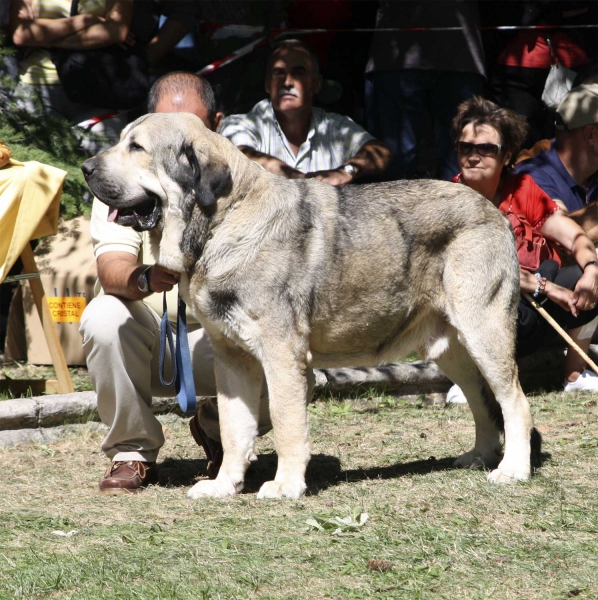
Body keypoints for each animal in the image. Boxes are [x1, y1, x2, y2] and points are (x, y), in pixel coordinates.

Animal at [81, 113, 540, 502]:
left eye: (136, 147)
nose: (85, 168)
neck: (222, 223)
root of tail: (492, 209)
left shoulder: (282, 355)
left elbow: (287, 423)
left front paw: (285, 485)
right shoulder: (233, 360)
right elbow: (234, 428)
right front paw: (224, 485)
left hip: (483, 331)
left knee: (514, 401)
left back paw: (512, 470)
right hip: (448, 348)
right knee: (482, 402)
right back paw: (481, 456)